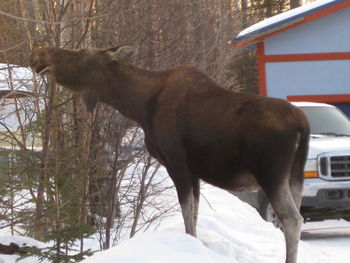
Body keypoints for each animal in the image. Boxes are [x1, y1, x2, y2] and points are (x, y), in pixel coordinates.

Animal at [30, 46, 308, 263]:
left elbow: (187, 213)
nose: (38, 54)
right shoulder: (194, 171)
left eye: (81, 52)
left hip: (271, 175)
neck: (139, 105)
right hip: (295, 176)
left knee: (292, 219)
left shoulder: (176, 162)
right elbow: (194, 212)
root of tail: (303, 125)